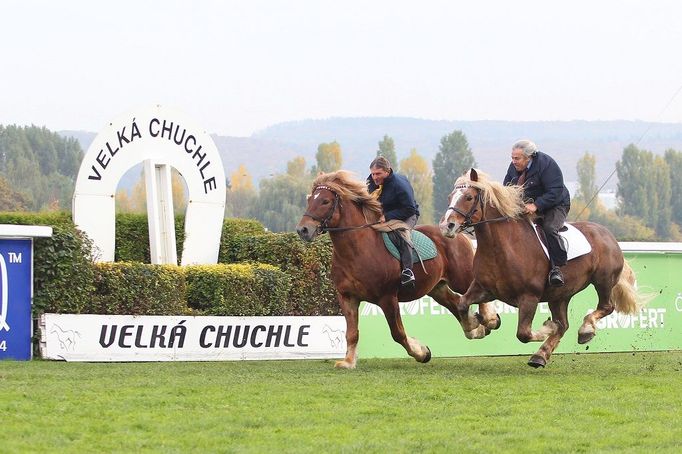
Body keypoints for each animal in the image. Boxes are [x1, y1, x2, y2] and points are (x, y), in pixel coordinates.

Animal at [294, 171, 500, 368]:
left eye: (325, 201)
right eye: (310, 199)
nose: (303, 230)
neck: (357, 251)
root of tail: (454, 232)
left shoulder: (387, 298)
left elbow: (397, 333)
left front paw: (421, 352)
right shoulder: (347, 297)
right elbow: (352, 333)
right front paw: (348, 362)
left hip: (460, 278)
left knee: (474, 291)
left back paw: (490, 319)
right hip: (437, 288)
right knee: (457, 302)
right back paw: (474, 327)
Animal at [438, 168, 640, 368]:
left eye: (469, 197)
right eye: (449, 197)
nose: (447, 226)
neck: (502, 247)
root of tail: (608, 234)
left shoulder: (529, 297)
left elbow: (523, 333)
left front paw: (547, 328)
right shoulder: (484, 289)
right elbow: (462, 304)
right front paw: (477, 325)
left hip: (603, 281)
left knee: (606, 307)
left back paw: (585, 330)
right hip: (560, 295)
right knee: (564, 324)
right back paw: (541, 355)